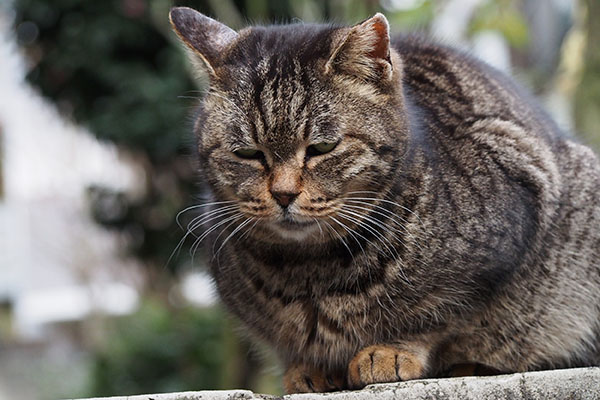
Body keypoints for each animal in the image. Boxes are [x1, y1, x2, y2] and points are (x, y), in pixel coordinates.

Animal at [168, 6, 600, 394]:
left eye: (322, 148)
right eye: (247, 154)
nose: (283, 194)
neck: (310, 272)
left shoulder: (502, 232)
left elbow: (439, 318)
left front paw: (390, 351)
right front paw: (306, 367)